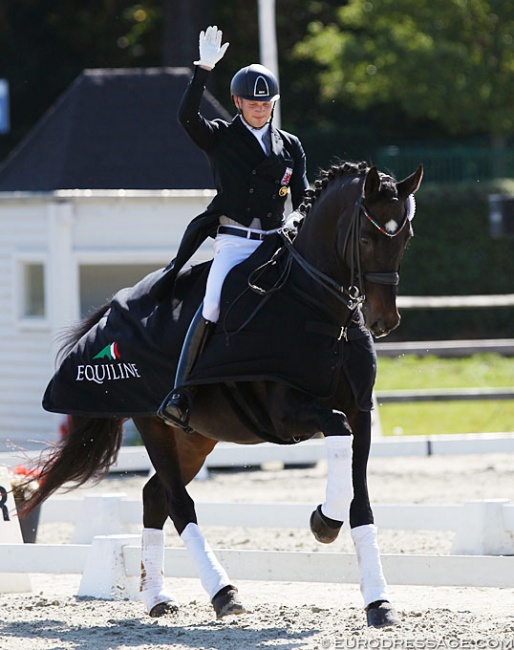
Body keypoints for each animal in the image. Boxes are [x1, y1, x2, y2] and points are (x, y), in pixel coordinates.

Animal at [23, 159, 420, 624]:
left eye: (405, 238)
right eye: (366, 238)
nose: (383, 321)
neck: (318, 308)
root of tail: (113, 309)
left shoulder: (361, 414)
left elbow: (361, 504)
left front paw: (379, 602)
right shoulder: (289, 413)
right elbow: (336, 434)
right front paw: (324, 521)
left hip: (196, 438)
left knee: (154, 496)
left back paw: (157, 598)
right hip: (155, 425)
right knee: (178, 503)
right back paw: (223, 593)